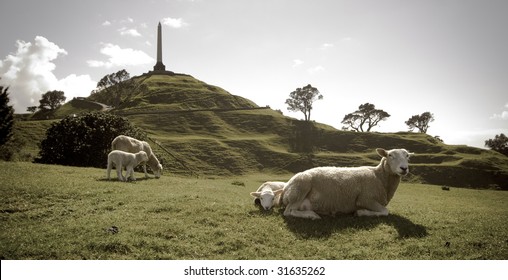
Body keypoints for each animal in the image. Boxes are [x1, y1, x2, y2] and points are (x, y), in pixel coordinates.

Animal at [282, 148, 412, 220]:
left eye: (407, 156)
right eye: (390, 155)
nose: (404, 168)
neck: (379, 177)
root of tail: (286, 187)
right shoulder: (365, 199)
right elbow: (385, 211)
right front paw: (361, 212)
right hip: (300, 188)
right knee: (288, 211)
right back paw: (312, 215)